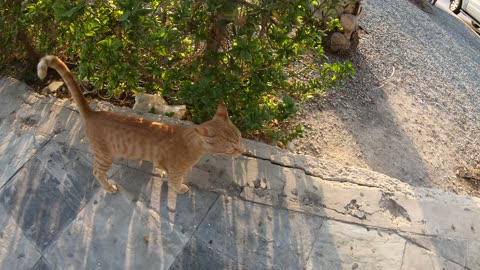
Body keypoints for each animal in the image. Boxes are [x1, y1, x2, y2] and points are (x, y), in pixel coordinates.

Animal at [38, 55, 246, 194]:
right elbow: (175, 182)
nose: (242, 151)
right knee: (97, 172)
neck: (191, 143)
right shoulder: (176, 171)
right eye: (231, 146)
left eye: (240, 138)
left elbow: (163, 170)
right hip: (104, 157)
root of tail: (93, 112)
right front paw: (180, 188)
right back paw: (109, 187)